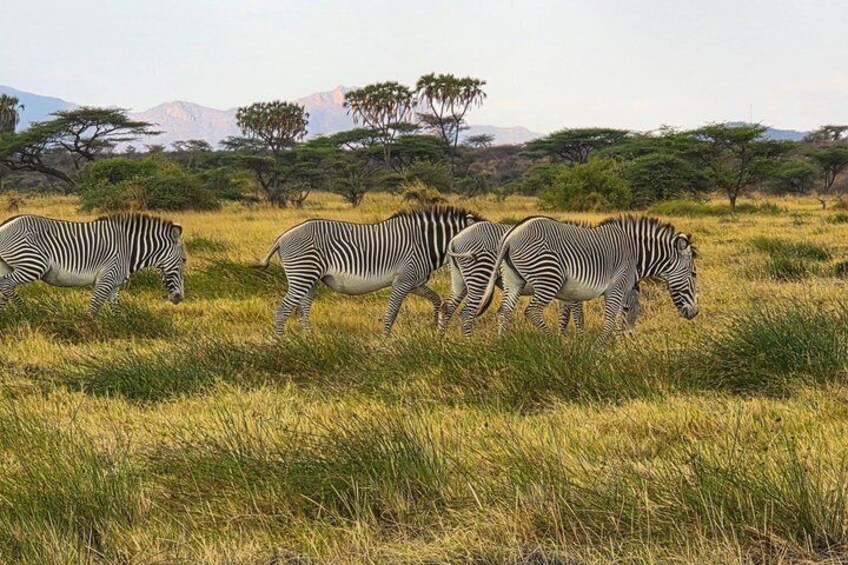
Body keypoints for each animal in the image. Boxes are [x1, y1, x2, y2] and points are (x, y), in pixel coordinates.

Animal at [0, 213, 186, 314]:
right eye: (184, 260)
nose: (180, 298)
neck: (129, 249)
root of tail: (5, 224)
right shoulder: (106, 278)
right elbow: (94, 307)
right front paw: (88, 328)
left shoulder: (114, 284)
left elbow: (115, 310)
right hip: (33, 263)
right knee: (6, 284)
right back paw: (26, 311)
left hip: (9, 265)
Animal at [255, 206, 483, 335]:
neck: (424, 244)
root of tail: (282, 238)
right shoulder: (403, 281)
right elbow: (392, 312)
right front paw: (385, 340)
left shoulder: (415, 282)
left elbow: (436, 299)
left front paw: (434, 324)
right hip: (302, 274)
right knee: (284, 309)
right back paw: (279, 343)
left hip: (309, 279)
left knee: (302, 310)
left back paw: (308, 340)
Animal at [439, 220, 642, 336]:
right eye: (629, 310)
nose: (630, 338)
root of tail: (455, 239)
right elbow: (577, 317)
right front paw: (577, 340)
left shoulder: (570, 292)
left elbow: (566, 316)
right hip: (480, 275)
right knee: (467, 313)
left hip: (460, 279)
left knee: (448, 307)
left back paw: (442, 342)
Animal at [477, 215, 698, 340]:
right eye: (693, 274)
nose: (695, 313)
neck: (635, 253)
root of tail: (511, 236)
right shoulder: (617, 286)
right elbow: (615, 317)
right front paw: (607, 347)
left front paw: (620, 344)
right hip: (549, 277)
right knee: (533, 311)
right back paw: (554, 344)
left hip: (513, 280)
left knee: (504, 311)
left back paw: (503, 344)